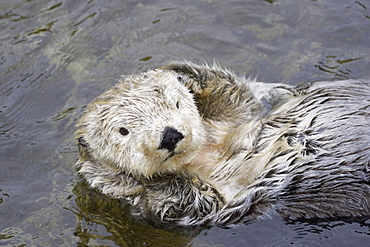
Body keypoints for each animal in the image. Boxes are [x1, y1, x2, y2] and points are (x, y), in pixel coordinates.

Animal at [75, 61, 370, 226]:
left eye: (177, 103)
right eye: (123, 131)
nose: (169, 136)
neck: (205, 154)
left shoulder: (247, 112)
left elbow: (238, 96)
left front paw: (179, 72)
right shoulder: (208, 205)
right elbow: (191, 201)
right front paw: (124, 176)